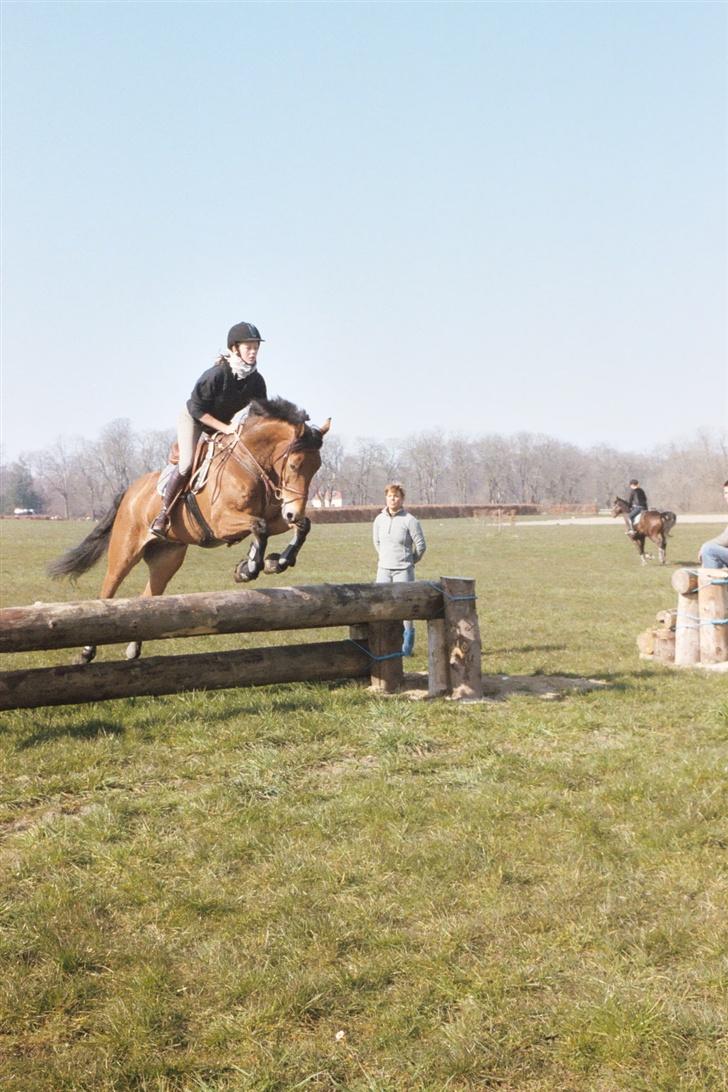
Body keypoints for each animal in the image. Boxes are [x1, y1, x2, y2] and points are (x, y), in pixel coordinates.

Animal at [51, 397, 333, 659]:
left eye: (317, 467)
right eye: (295, 465)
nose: (293, 511)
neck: (250, 464)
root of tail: (129, 491)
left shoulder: (276, 516)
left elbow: (300, 526)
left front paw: (276, 561)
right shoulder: (221, 521)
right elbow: (259, 527)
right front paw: (249, 568)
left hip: (167, 558)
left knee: (148, 598)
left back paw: (133, 648)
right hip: (125, 551)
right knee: (108, 590)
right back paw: (87, 651)